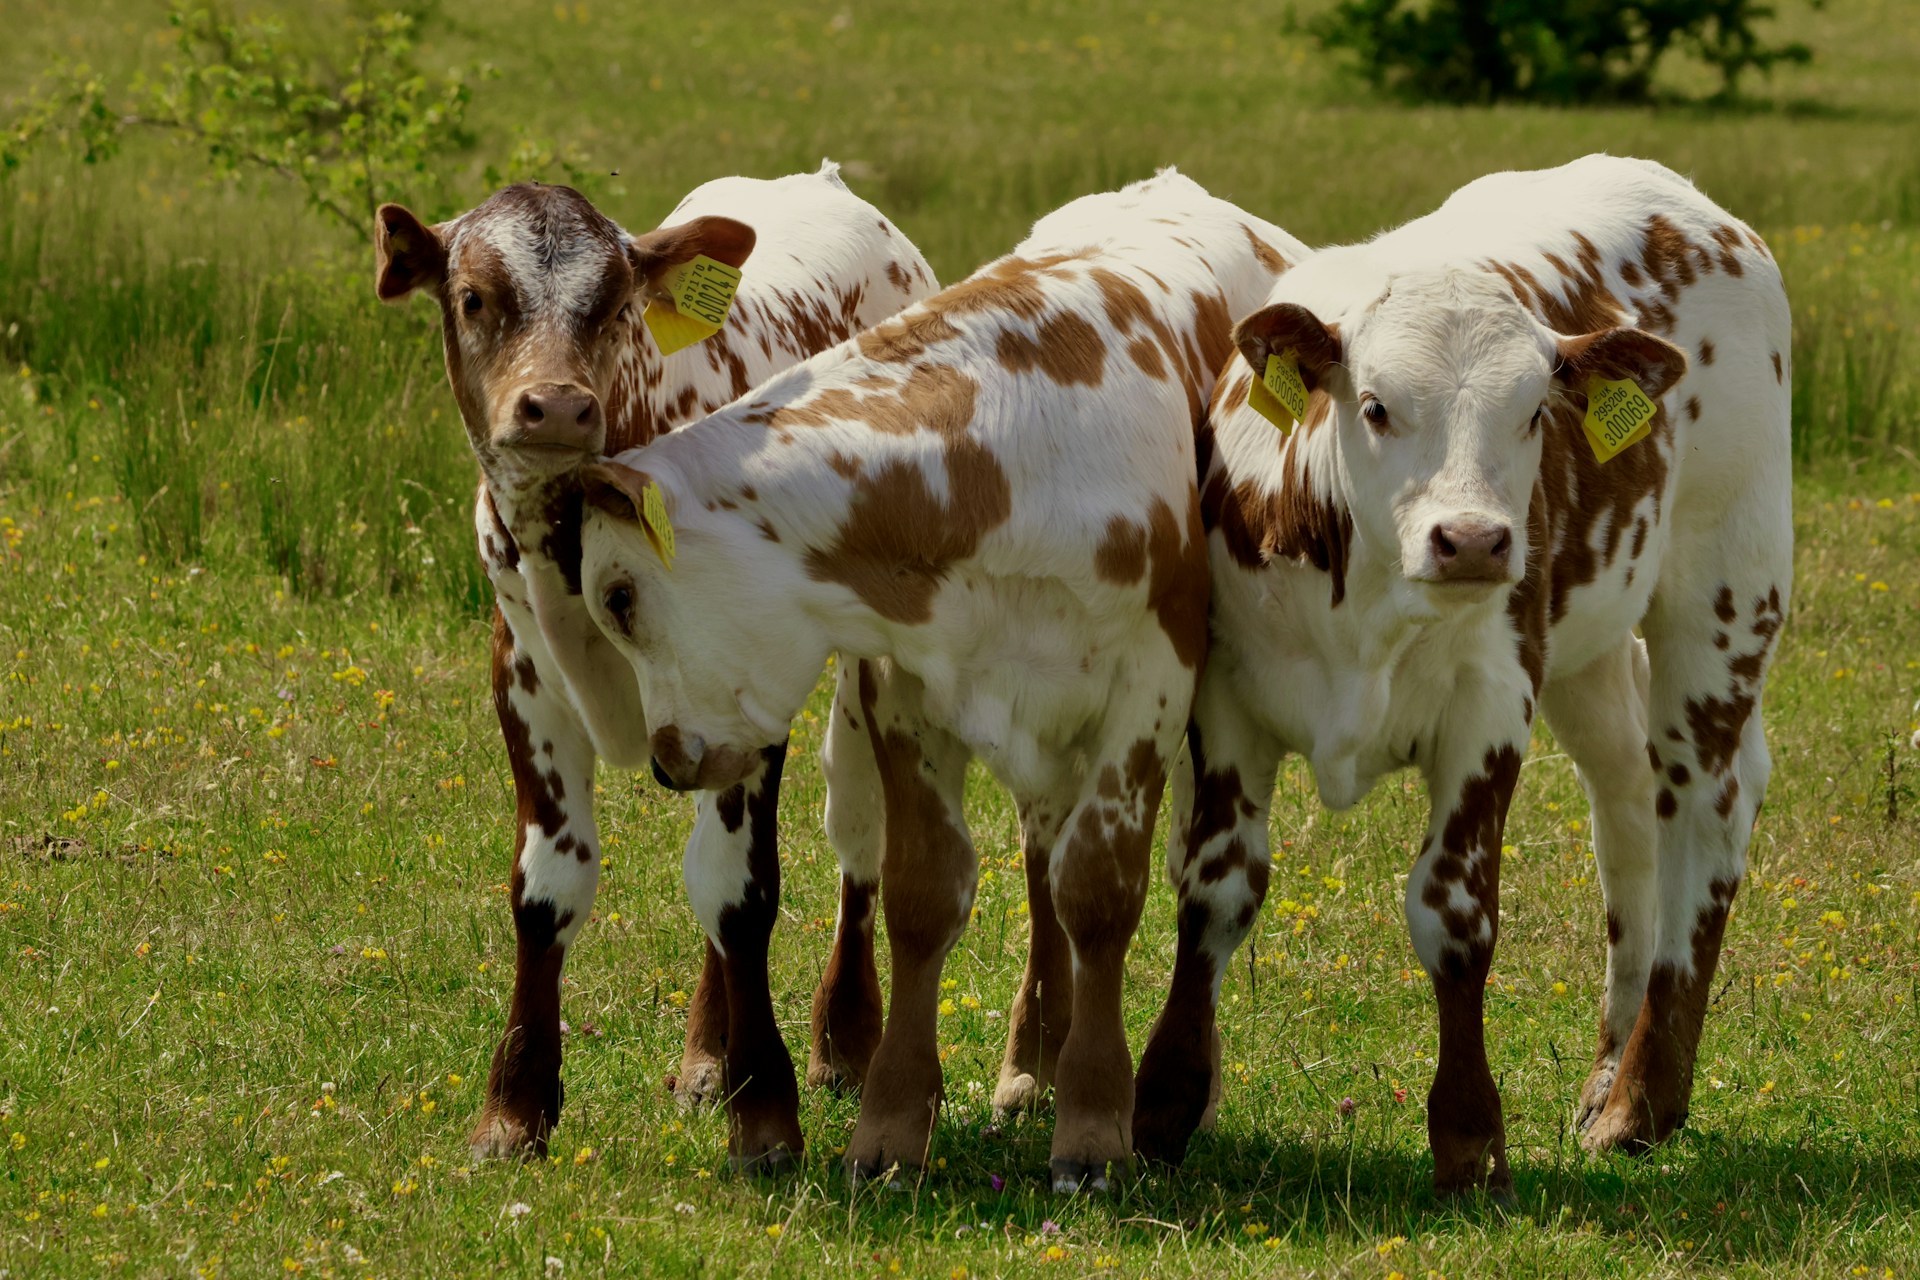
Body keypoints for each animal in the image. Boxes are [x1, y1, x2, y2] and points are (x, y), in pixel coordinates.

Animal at [371, 162, 938, 1165]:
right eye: (474, 297)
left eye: (612, 305)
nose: (557, 404)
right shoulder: (524, 677)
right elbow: (546, 887)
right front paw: (514, 1109)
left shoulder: (746, 691)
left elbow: (740, 891)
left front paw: (766, 1110)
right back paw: (706, 1058)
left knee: (859, 826)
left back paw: (843, 1036)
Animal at [568, 170, 1306, 1188]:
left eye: (620, 594)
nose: (669, 760)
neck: (1001, 460)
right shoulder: (903, 692)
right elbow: (924, 896)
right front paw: (891, 1125)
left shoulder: (1149, 696)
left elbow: (1101, 895)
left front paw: (1094, 1124)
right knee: (1039, 857)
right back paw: (1033, 1056)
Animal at [1130, 154, 1791, 1196]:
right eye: (1374, 406)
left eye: (1534, 412)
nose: (1476, 540)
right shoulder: (1227, 700)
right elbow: (1217, 887)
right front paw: (1164, 1104)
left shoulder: (1491, 708)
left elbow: (1454, 911)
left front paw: (1471, 1138)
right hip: (1593, 646)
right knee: (1628, 805)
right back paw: (1609, 1071)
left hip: (1727, 592)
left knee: (1705, 809)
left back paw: (1642, 1102)